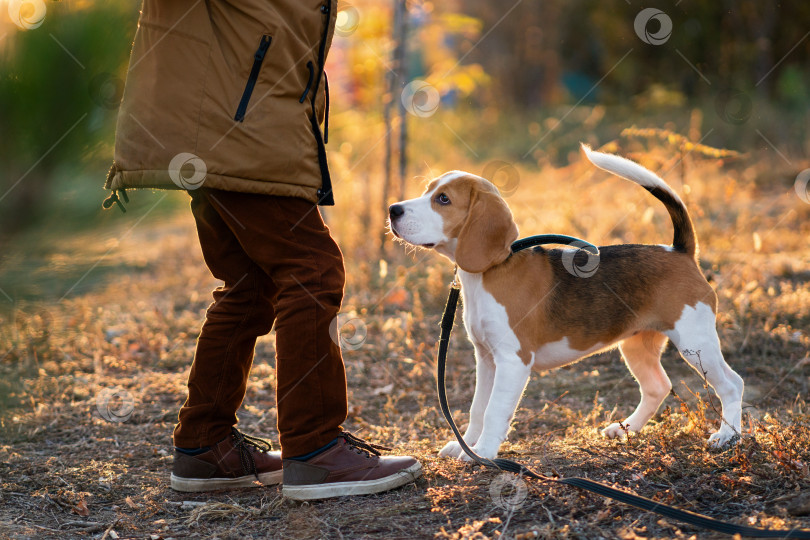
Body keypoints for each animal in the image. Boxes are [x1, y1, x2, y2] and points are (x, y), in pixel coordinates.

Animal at [388, 144, 740, 460]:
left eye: (443, 199)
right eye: (427, 190)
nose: (393, 209)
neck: (490, 272)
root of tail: (679, 250)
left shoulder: (513, 361)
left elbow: (494, 411)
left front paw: (483, 452)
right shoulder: (486, 358)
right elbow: (478, 408)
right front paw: (466, 444)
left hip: (695, 343)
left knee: (731, 384)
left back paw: (727, 436)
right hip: (637, 344)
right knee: (657, 386)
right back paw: (625, 429)